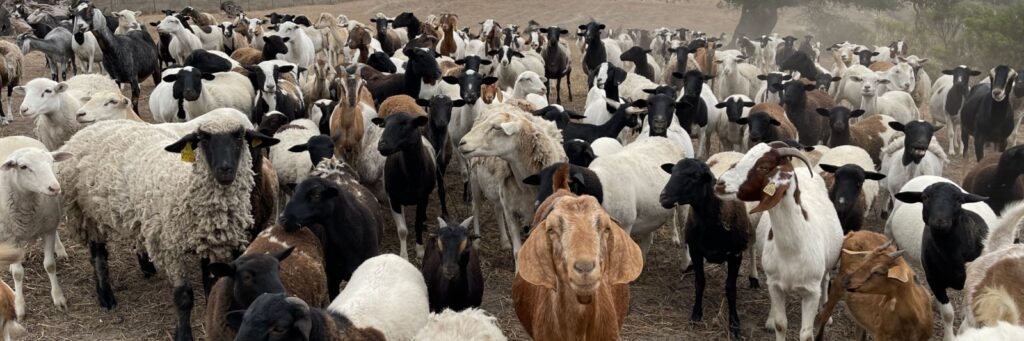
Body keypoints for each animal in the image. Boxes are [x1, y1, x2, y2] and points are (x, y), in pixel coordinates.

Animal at [55, 107, 280, 337]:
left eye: (239, 137)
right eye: (203, 139)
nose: (224, 169)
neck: (187, 188)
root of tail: (90, 129)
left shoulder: (209, 244)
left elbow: (210, 286)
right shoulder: (171, 249)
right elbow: (183, 298)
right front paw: (184, 334)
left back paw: (146, 268)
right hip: (86, 212)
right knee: (98, 255)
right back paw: (106, 296)